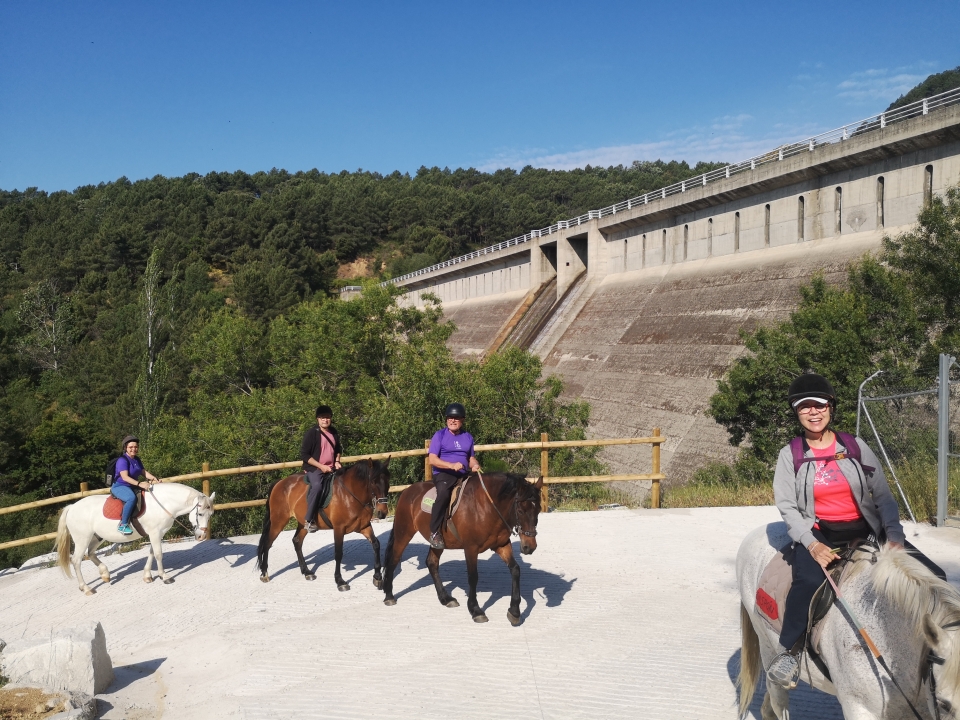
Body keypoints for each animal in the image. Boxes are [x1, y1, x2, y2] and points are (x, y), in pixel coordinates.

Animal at [55, 483, 215, 595]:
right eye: (200, 514)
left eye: (210, 515)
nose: (201, 536)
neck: (164, 503)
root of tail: (72, 507)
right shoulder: (155, 533)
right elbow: (158, 554)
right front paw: (164, 577)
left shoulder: (157, 534)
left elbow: (151, 553)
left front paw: (147, 576)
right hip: (83, 538)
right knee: (76, 560)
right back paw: (86, 588)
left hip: (97, 537)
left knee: (91, 553)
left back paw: (105, 574)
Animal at [256, 459, 390, 590]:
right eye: (373, 482)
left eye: (388, 482)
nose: (382, 513)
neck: (350, 495)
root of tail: (280, 483)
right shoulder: (339, 529)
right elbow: (338, 553)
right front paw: (340, 581)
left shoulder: (364, 526)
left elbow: (376, 544)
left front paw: (377, 577)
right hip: (278, 521)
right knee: (267, 544)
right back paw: (264, 573)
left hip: (303, 524)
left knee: (297, 541)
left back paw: (306, 572)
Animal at [382, 472, 543, 625]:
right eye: (521, 510)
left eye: (538, 510)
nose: (529, 547)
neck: (488, 507)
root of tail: (407, 491)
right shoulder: (471, 548)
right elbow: (473, 577)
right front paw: (476, 610)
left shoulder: (501, 545)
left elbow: (515, 570)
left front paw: (514, 611)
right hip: (404, 532)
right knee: (394, 559)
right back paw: (389, 595)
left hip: (438, 543)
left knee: (432, 562)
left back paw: (446, 598)